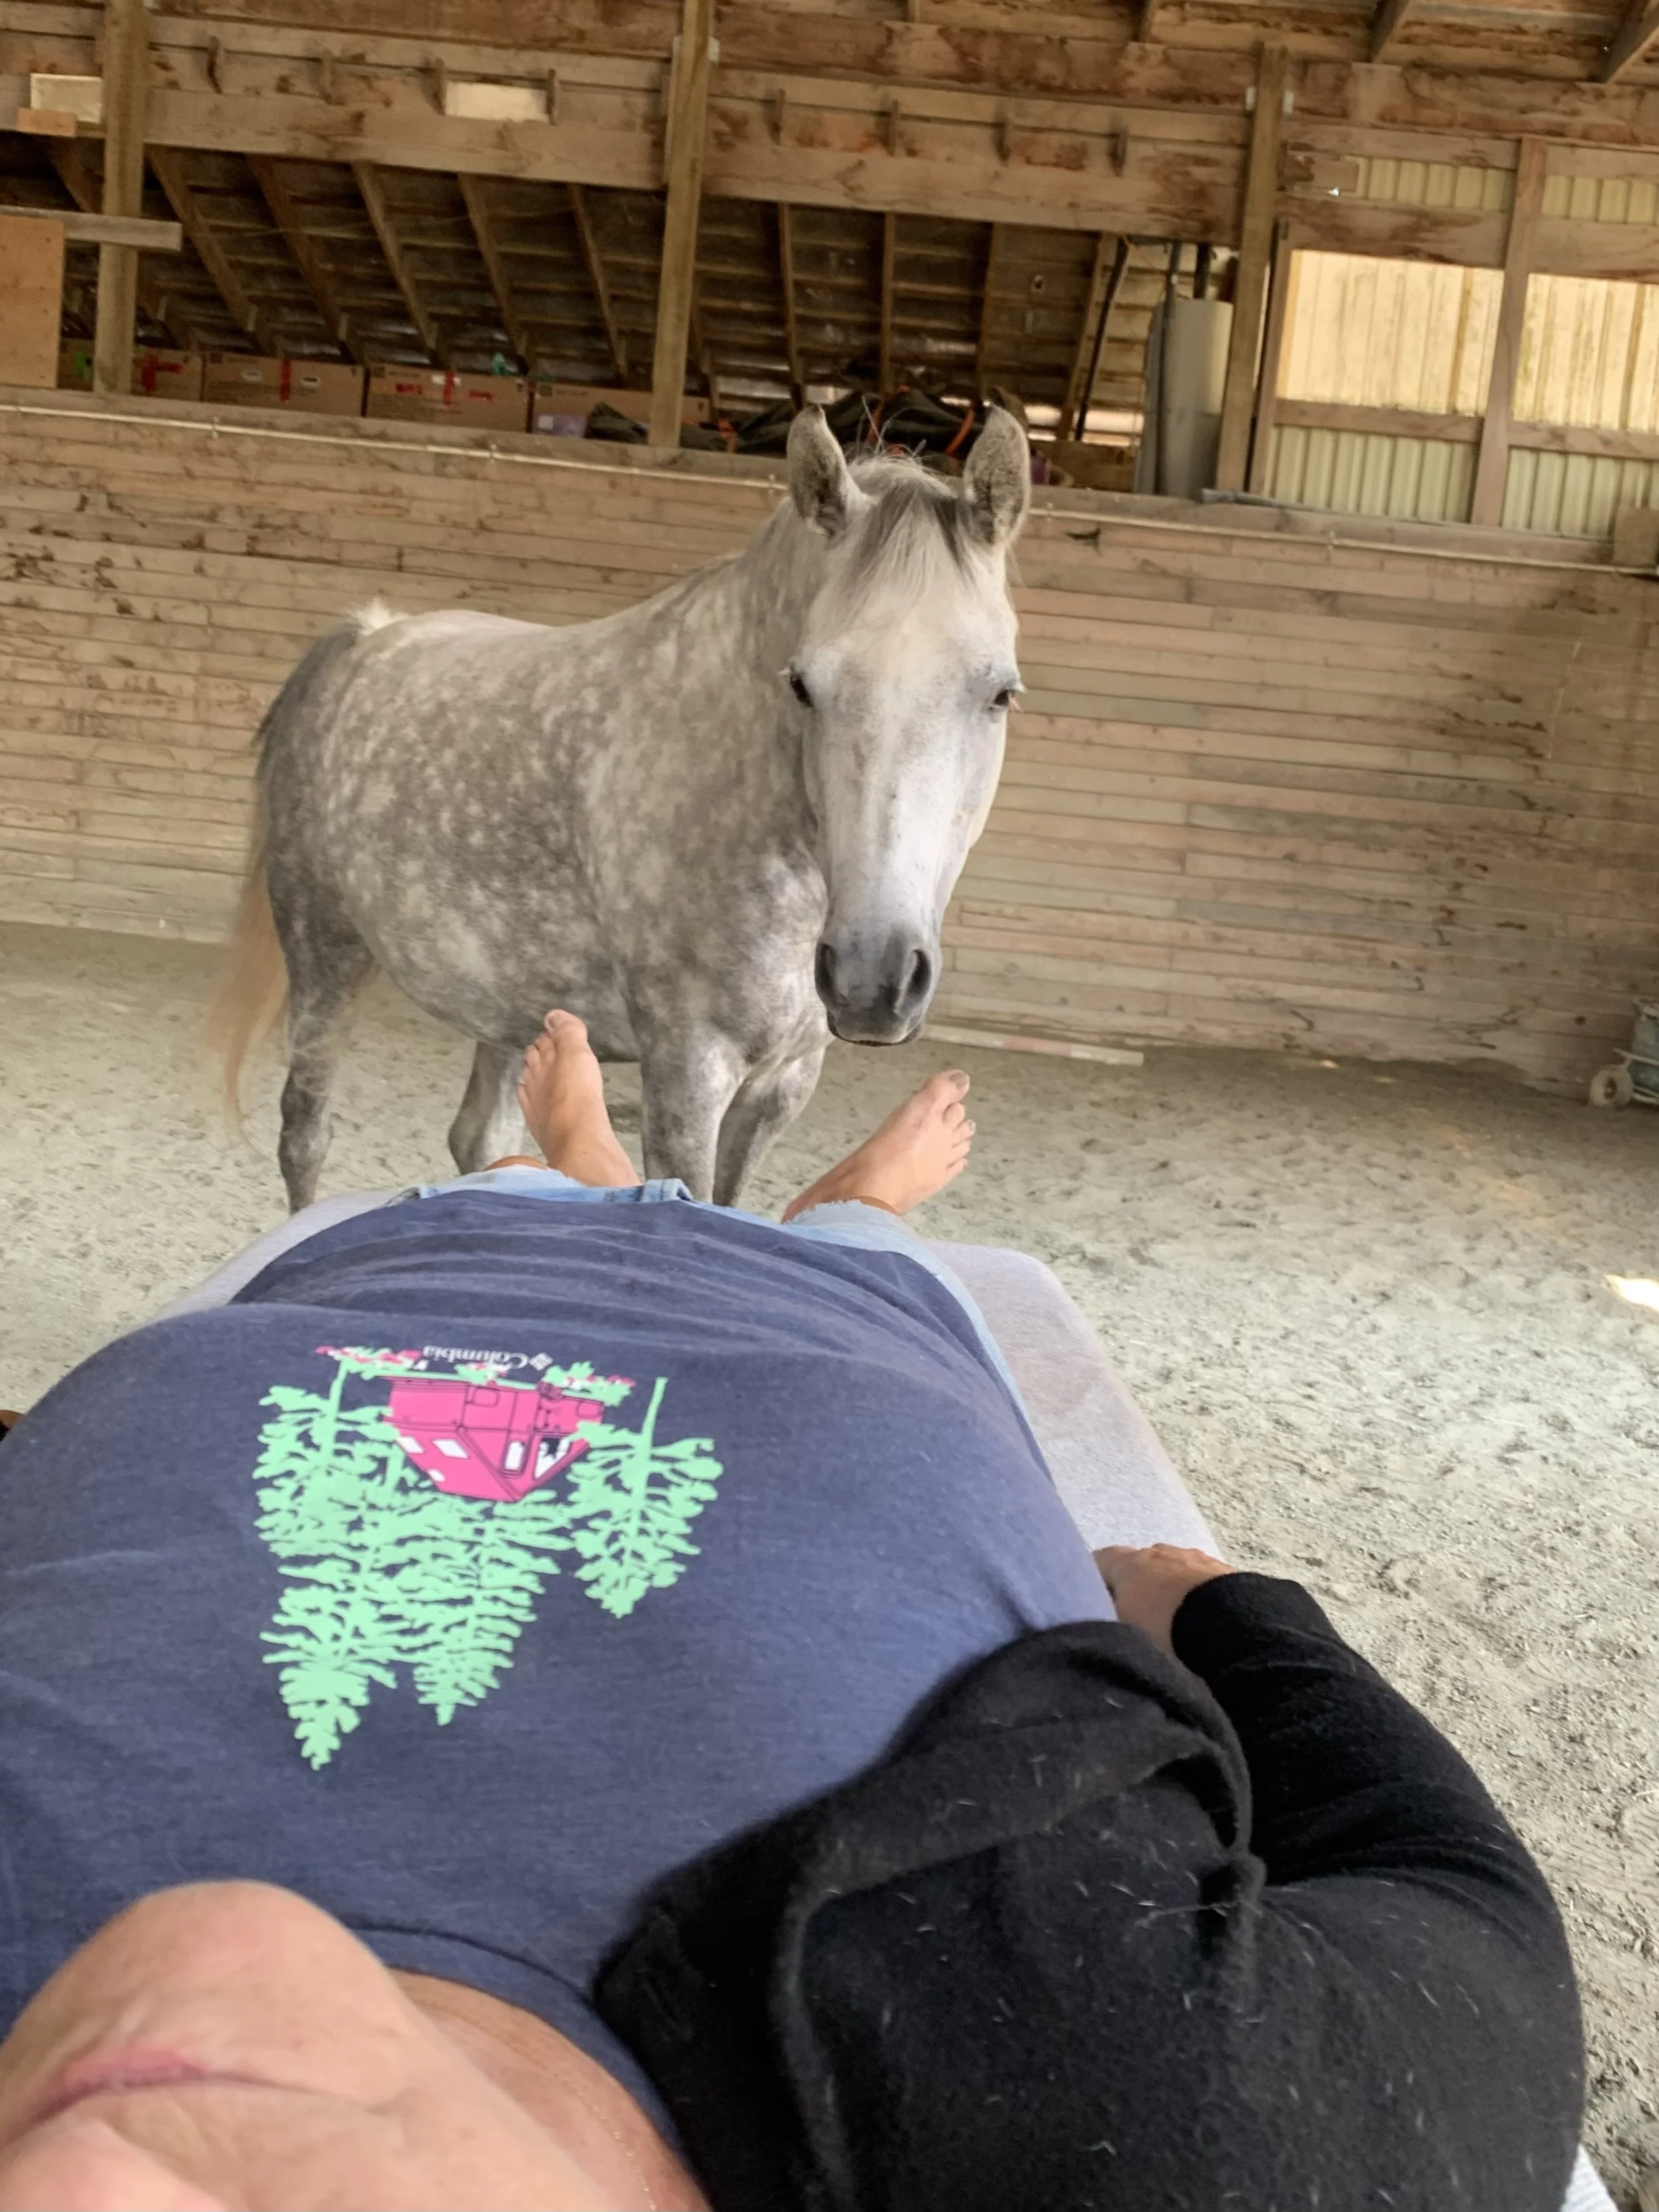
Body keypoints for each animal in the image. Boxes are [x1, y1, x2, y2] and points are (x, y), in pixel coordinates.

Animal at [216, 404, 1030, 1211]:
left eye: (1000, 693)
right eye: (802, 684)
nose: (874, 978)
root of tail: (366, 640)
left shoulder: (783, 1082)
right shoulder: (689, 1070)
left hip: (506, 1004)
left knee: (480, 1138)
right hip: (324, 958)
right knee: (305, 1134)